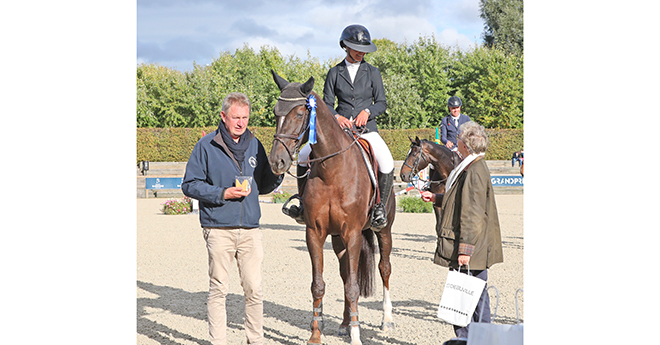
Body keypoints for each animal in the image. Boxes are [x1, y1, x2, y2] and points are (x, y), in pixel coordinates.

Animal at [266, 70, 394, 344]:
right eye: (275, 112)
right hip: (337, 239)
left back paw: (387, 320)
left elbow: (355, 286)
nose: (276, 162)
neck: (332, 170)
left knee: (384, 268)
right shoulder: (315, 232)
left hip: (383, 230)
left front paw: (357, 336)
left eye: (299, 114)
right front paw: (316, 334)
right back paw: (345, 324)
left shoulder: (353, 233)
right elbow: (319, 284)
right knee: (346, 274)